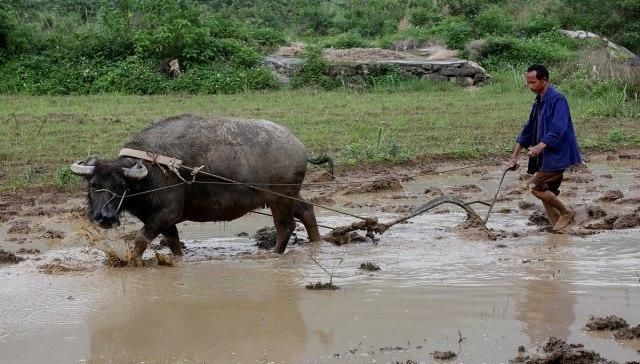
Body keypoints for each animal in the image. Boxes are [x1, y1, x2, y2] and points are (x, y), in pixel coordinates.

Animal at [72, 113, 322, 264]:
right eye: (94, 185)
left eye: (121, 185)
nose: (104, 217)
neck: (151, 172)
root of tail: (298, 146)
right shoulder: (162, 219)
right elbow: (173, 242)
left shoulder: (166, 213)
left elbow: (141, 239)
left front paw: (133, 262)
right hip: (286, 195)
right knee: (307, 210)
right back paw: (317, 243)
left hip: (281, 198)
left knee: (286, 226)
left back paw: (274, 254)